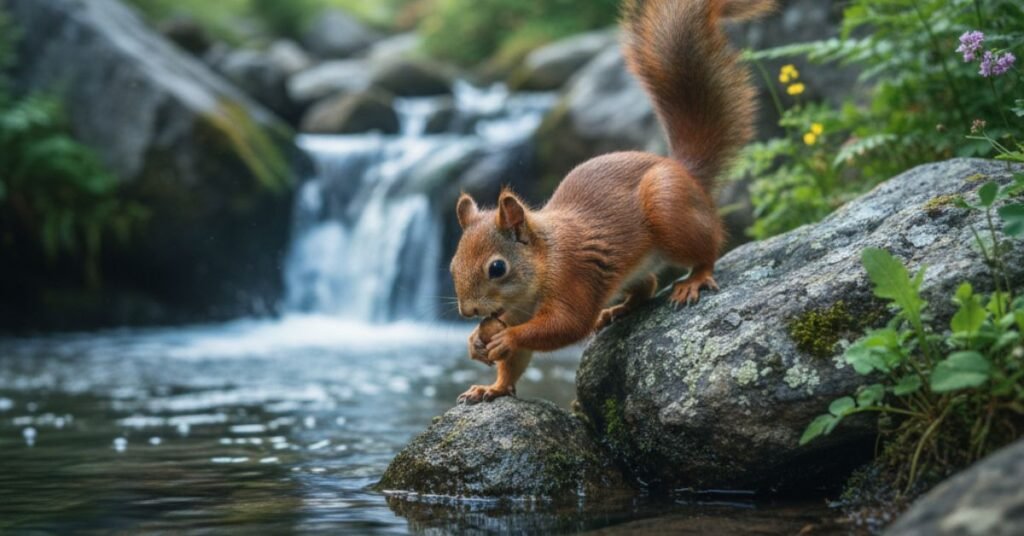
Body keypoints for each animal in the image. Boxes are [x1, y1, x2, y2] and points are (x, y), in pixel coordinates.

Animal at [451, 0, 774, 404]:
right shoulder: (518, 308)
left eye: (497, 268)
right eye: (452, 265)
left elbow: (567, 324)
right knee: (647, 284)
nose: (468, 311)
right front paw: (489, 379)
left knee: (707, 249)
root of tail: (685, 173)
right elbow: (515, 363)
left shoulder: (573, 275)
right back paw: (617, 311)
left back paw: (695, 279)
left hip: (669, 210)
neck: (544, 261)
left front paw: (505, 339)